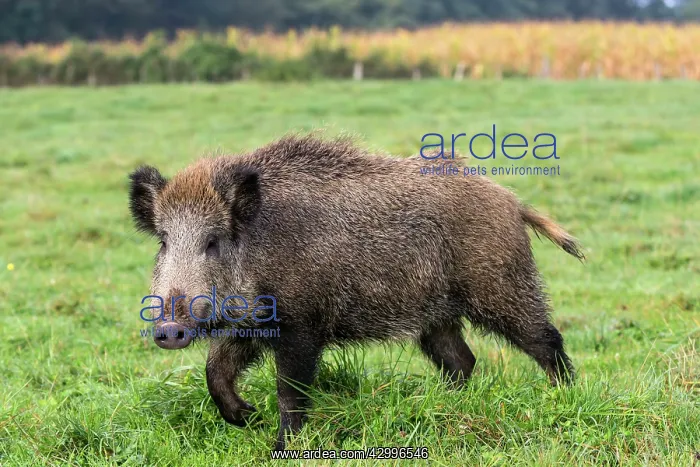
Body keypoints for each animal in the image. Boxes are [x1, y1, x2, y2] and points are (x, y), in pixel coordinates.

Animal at [128, 134, 583, 450]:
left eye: (213, 241)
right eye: (164, 241)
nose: (168, 330)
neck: (261, 247)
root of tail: (513, 202)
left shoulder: (302, 325)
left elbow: (290, 390)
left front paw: (280, 446)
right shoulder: (249, 324)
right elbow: (215, 370)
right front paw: (246, 417)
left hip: (501, 286)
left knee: (545, 339)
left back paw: (565, 395)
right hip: (438, 315)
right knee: (461, 359)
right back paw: (444, 403)